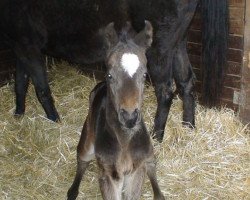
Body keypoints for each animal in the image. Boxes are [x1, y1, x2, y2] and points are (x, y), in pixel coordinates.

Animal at [0, 0, 228, 141]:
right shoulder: (21, 49)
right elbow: (21, 84)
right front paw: (18, 115)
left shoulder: (29, 48)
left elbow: (41, 90)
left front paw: (54, 121)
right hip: (177, 44)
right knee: (186, 83)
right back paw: (188, 127)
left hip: (159, 49)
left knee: (165, 91)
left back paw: (157, 136)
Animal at [67, 21, 164, 199]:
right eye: (110, 75)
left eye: (145, 75)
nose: (130, 117)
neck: (124, 141)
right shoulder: (109, 175)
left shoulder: (136, 171)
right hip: (88, 142)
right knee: (82, 158)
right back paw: (72, 191)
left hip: (148, 151)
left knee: (151, 164)